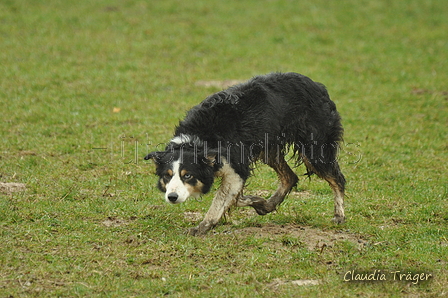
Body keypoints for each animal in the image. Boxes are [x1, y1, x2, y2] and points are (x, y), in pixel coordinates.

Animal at [145, 72, 344, 235]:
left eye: (187, 176)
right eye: (167, 176)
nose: (171, 197)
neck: (199, 140)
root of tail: (318, 86)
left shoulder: (236, 166)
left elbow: (221, 198)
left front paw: (202, 227)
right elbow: (236, 197)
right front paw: (258, 202)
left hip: (314, 147)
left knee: (337, 178)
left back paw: (339, 216)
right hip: (269, 148)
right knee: (290, 177)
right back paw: (269, 205)